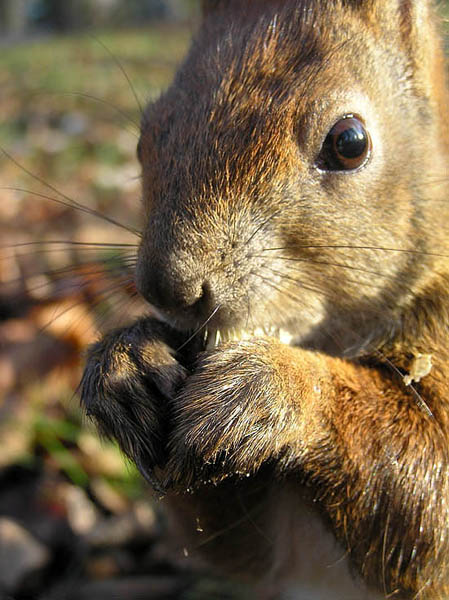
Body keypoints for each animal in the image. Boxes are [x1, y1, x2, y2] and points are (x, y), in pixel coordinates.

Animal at [79, 0, 448, 596]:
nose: (166, 287)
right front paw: (128, 359)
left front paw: (276, 387)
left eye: (350, 142)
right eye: (145, 138)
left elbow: (430, 509)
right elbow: (229, 543)